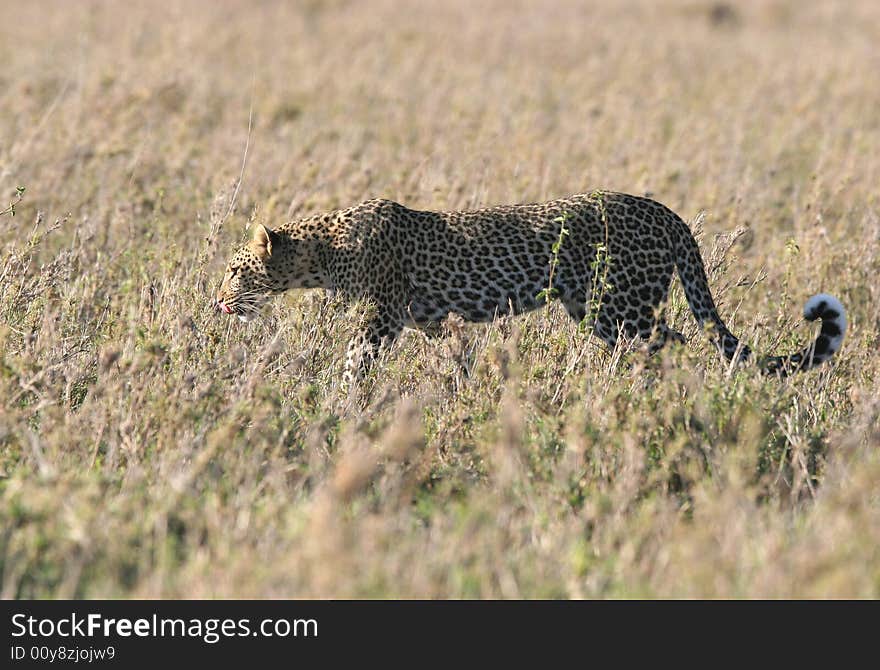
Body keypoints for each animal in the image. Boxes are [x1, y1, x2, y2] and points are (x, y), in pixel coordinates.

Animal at [213, 192, 844, 386]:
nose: (217, 301)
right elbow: (456, 353)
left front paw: (343, 403)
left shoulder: (381, 317)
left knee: (668, 343)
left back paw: (634, 392)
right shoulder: (427, 318)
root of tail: (665, 212)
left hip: (618, 303)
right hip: (595, 307)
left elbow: (353, 361)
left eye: (235, 271)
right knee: (666, 341)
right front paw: (463, 392)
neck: (323, 254)